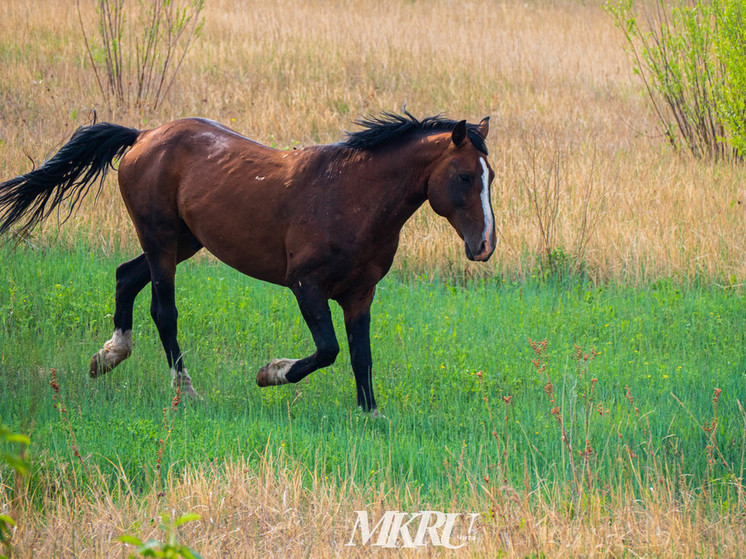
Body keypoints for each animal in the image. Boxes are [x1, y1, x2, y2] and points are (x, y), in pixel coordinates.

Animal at [1, 111, 494, 414]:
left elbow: (361, 356)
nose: (485, 245)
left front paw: (370, 414)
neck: (352, 195)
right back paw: (186, 391)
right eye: (465, 176)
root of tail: (143, 137)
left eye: (491, 176)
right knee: (163, 312)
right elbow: (328, 350)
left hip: (183, 241)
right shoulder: (306, 285)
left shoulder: (360, 294)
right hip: (160, 240)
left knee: (126, 276)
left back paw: (108, 356)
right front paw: (269, 373)